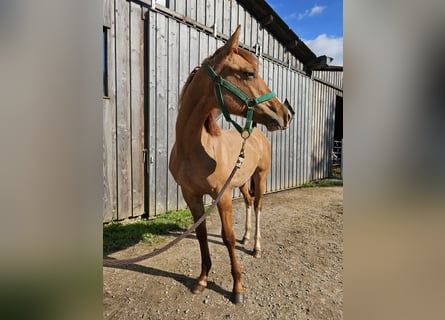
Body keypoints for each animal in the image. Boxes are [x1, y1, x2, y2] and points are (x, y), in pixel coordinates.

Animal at [168, 26, 290, 304]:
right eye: (249, 73)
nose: (285, 114)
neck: (194, 148)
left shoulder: (221, 197)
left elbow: (228, 238)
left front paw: (237, 288)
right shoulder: (191, 195)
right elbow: (202, 235)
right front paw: (202, 280)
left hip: (261, 177)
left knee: (258, 206)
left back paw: (255, 247)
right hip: (242, 182)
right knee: (248, 203)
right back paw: (248, 237)